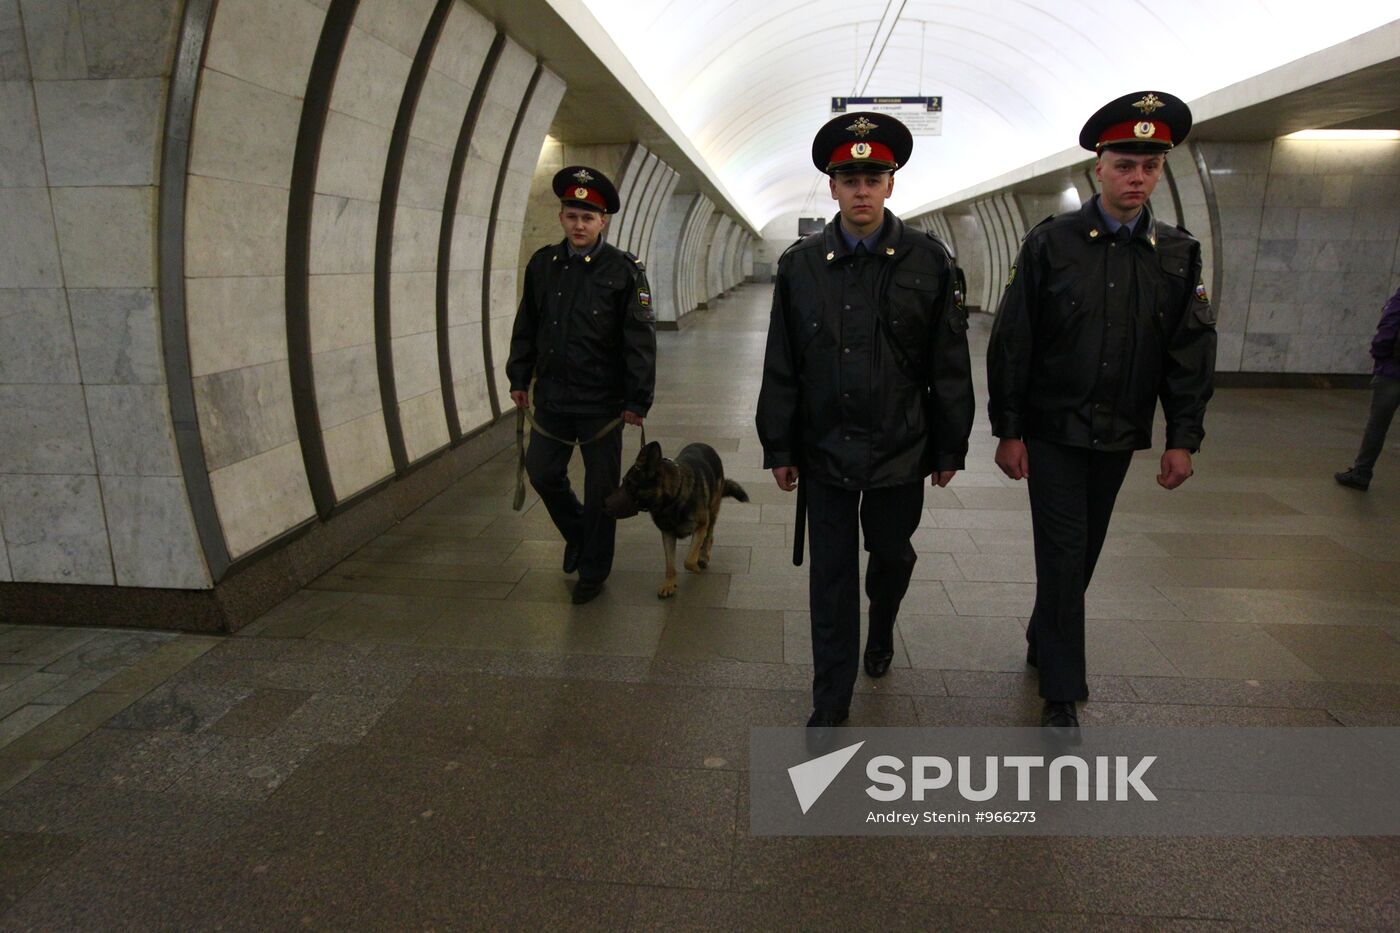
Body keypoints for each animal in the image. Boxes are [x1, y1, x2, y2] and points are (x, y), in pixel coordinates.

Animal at [604, 442, 750, 596]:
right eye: (623, 482)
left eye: (631, 486)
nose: (604, 504)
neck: (673, 499)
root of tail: (703, 444)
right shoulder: (667, 534)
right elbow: (670, 565)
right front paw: (669, 584)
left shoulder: (701, 525)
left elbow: (688, 560)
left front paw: (695, 565)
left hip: (712, 511)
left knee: (709, 536)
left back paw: (703, 555)